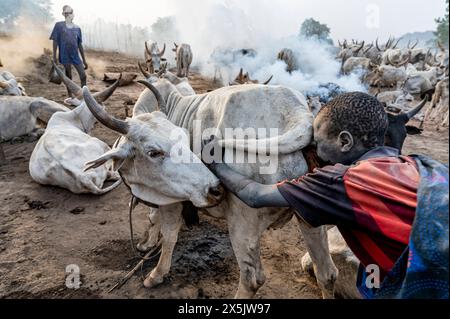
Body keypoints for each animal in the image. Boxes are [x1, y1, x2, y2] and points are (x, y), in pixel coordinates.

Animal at [82, 80, 340, 300]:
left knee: (252, 279)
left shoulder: (171, 200)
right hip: (309, 214)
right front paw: (147, 243)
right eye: (154, 152)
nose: (214, 188)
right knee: (327, 273)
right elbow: (153, 218)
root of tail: (297, 114)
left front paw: (156, 274)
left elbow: (169, 236)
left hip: (242, 225)